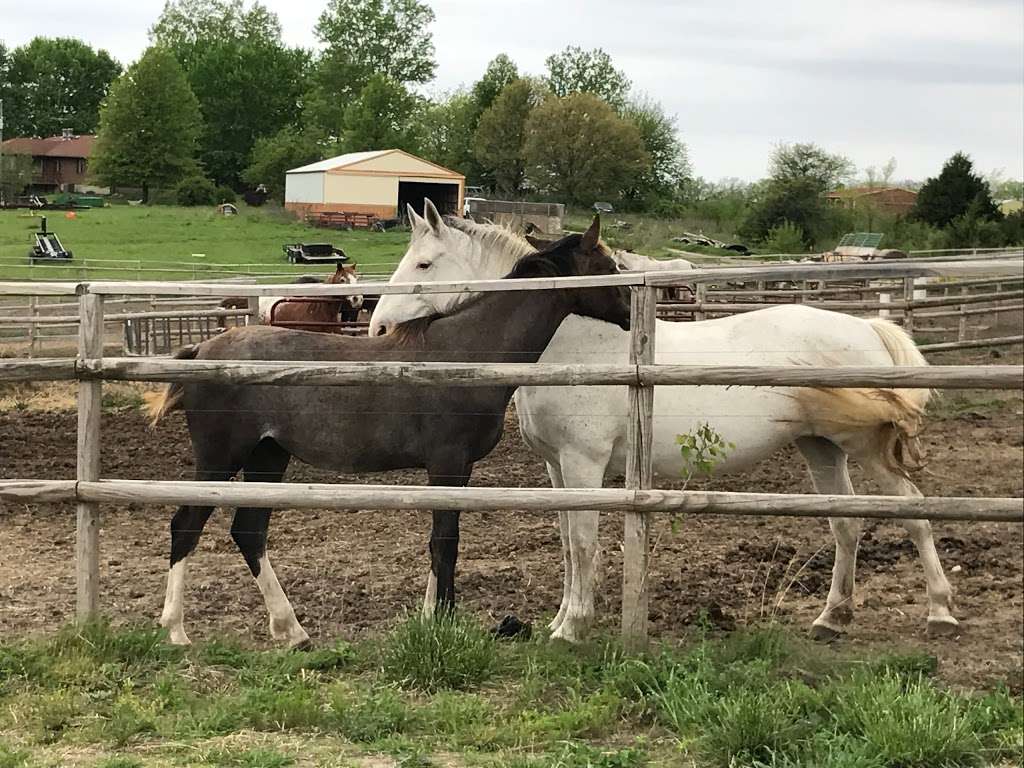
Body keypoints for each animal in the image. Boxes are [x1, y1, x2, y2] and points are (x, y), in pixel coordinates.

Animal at [143, 214, 622, 647]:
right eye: (609, 267)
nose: (629, 314)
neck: (466, 350)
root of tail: (203, 349)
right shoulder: (448, 463)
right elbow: (445, 543)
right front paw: (443, 623)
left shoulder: (455, 469)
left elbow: (444, 543)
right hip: (220, 458)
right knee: (186, 527)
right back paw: (176, 631)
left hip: (268, 456)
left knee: (249, 531)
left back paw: (291, 631)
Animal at [372, 202, 954, 643]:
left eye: (423, 265)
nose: (377, 327)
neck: (574, 344)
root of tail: (868, 327)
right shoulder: (557, 469)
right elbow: (566, 544)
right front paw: (561, 619)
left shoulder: (584, 465)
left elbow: (582, 543)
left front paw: (572, 629)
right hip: (820, 446)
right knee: (846, 524)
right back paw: (833, 617)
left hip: (867, 448)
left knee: (913, 512)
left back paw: (940, 611)